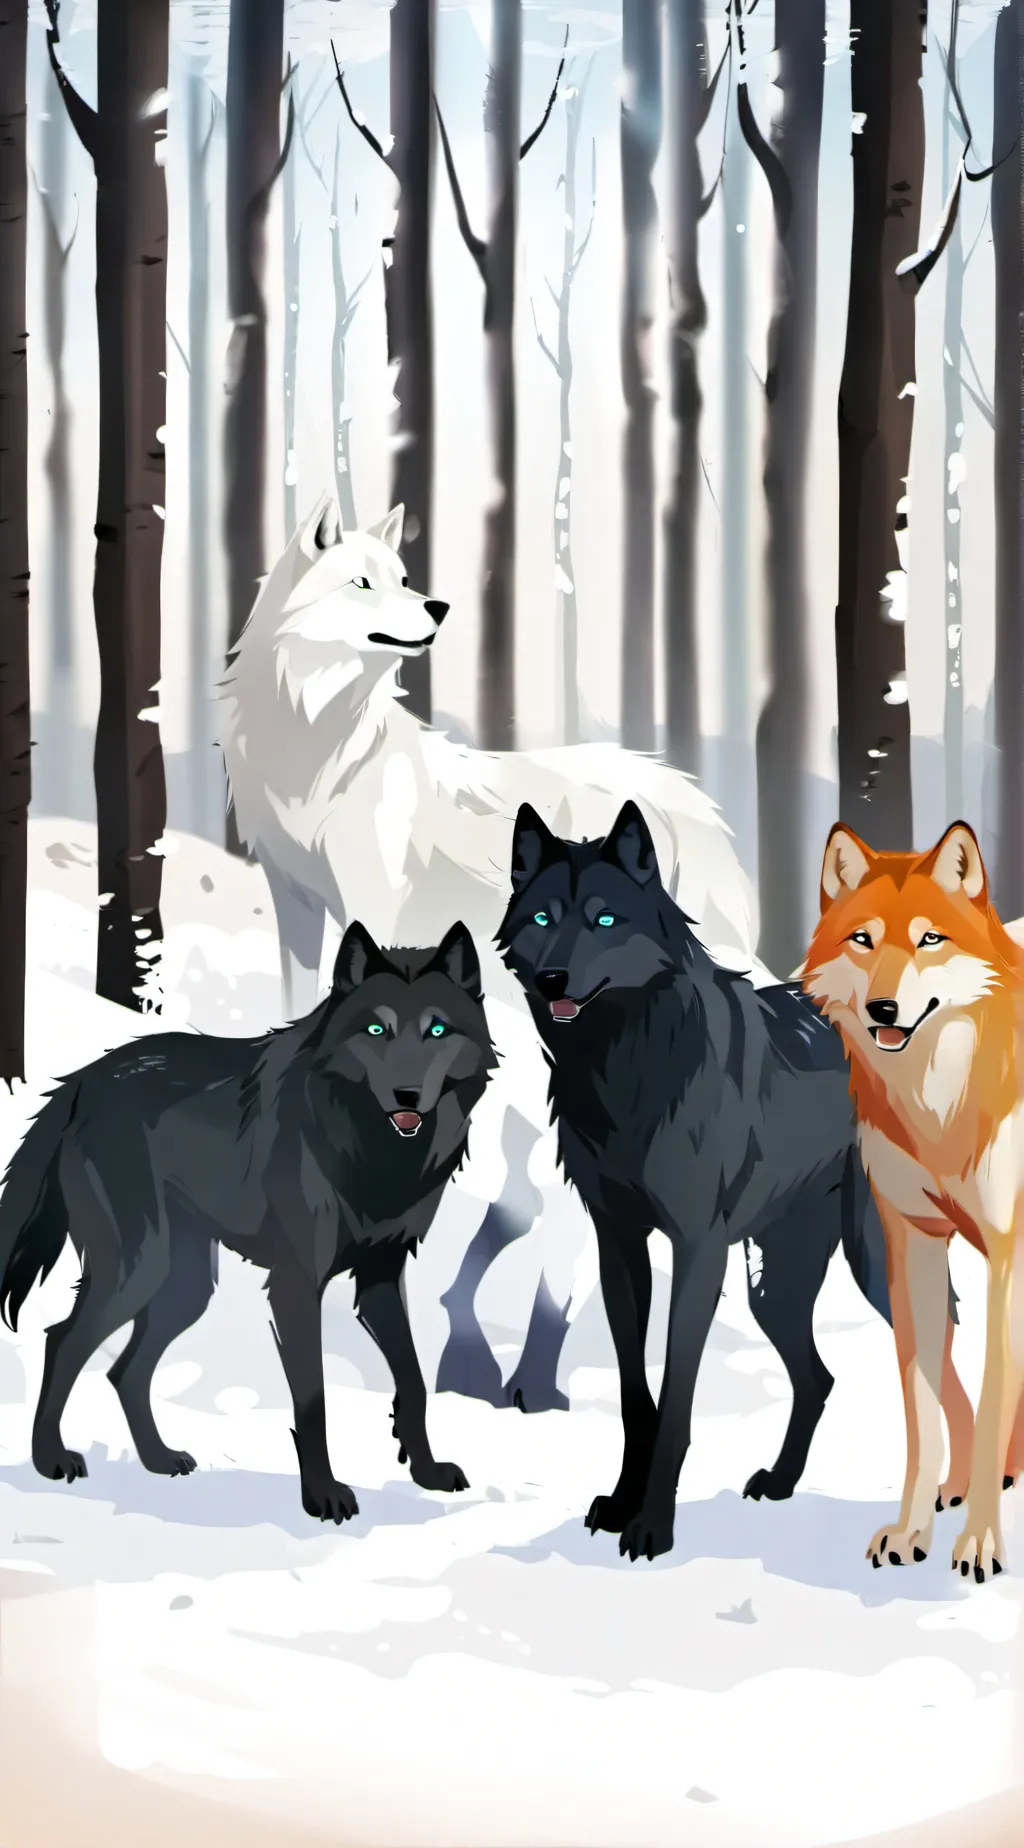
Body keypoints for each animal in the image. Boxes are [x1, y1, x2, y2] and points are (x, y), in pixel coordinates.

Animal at [0, 921, 496, 1523]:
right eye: (377, 1029)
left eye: (437, 1030)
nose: (407, 1095)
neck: (368, 1146)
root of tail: (81, 1079)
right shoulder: (295, 1284)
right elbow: (313, 1401)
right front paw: (323, 1496)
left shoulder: (381, 1277)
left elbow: (415, 1383)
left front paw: (426, 1472)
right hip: (138, 1270)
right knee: (62, 1341)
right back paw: (50, 1458)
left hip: (183, 1289)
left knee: (125, 1371)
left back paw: (159, 1459)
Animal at [216, 494, 768, 1411]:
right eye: (365, 583)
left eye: (405, 578)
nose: (439, 608)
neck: (321, 751)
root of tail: (699, 802)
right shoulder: (294, 902)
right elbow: (301, 1000)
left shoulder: (371, 910)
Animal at [497, 799, 973, 1563]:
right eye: (544, 918)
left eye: (605, 919)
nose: (552, 981)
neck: (627, 1065)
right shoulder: (619, 1247)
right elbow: (635, 1394)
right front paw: (621, 1502)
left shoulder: (698, 1249)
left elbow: (676, 1397)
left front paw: (653, 1525)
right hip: (773, 1287)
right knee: (819, 1377)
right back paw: (781, 1483)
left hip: (875, 1266)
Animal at [803, 820, 1024, 1582]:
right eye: (862, 940)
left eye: (930, 939)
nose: (883, 1009)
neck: (938, 1109)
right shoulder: (914, 1242)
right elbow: (922, 1410)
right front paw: (911, 1531)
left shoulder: (1009, 1255)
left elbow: (993, 1390)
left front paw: (980, 1544)